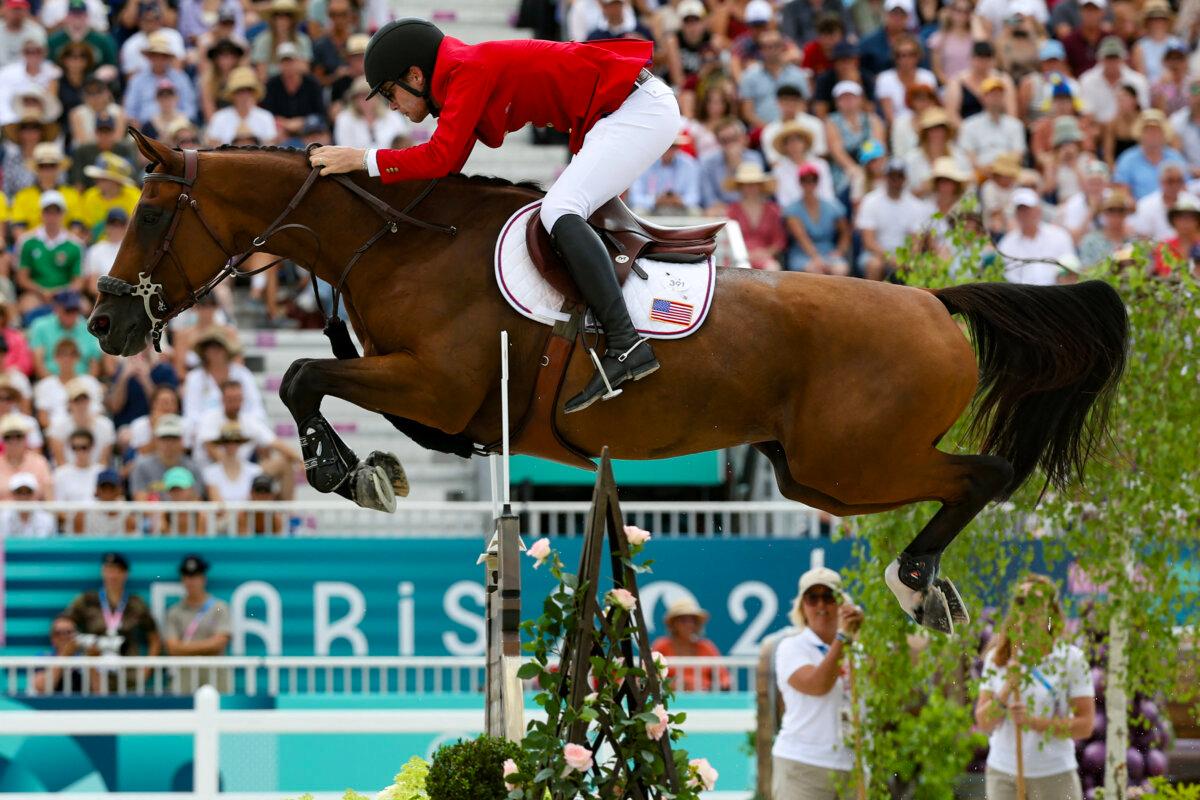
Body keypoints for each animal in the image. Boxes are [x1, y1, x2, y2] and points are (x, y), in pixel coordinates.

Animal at [88, 130, 1128, 633]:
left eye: (151, 214)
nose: (103, 323)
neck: (400, 243)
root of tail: (933, 303)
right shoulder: (439, 404)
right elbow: (316, 376)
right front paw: (366, 467)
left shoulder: (432, 385)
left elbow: (304, 375)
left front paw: (352, 473)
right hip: (817, 476)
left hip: (856, 463)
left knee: (987, 476)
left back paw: (919, 585)